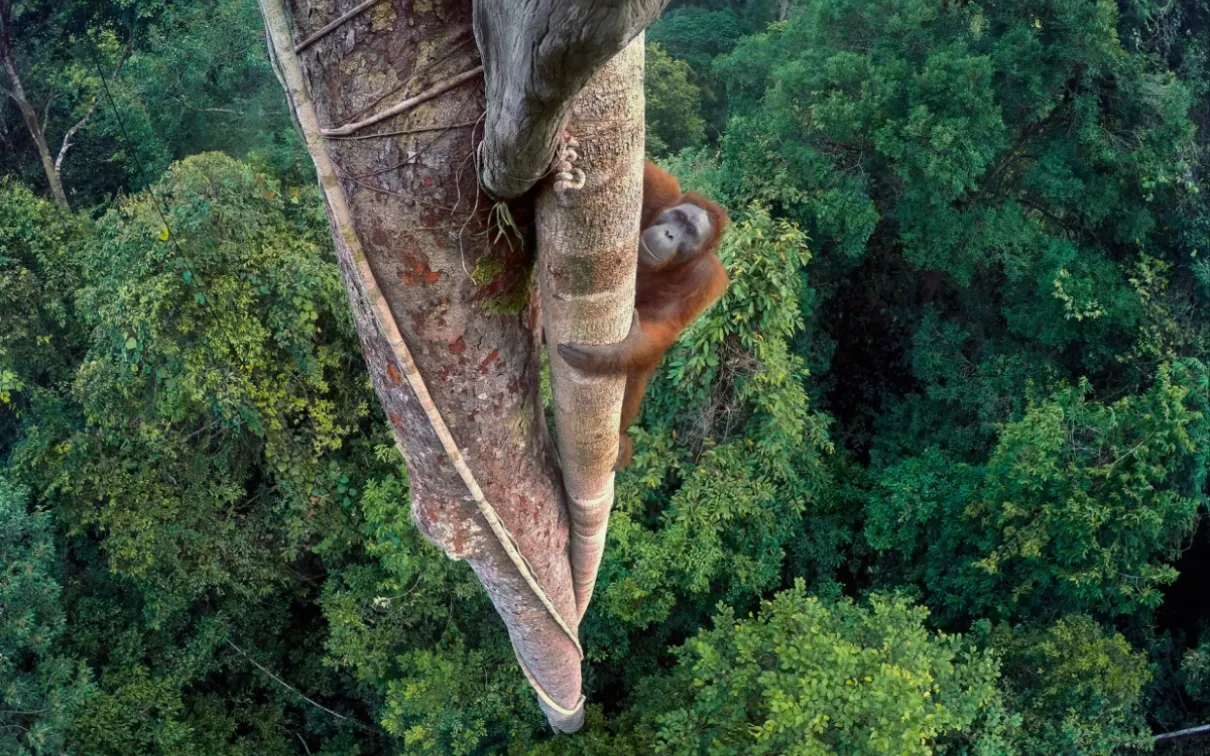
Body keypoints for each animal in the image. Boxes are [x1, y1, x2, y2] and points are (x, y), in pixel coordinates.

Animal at [558, 161, 730, 470]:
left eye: (689, 231)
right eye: (677, 217)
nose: (670, 234)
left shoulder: (705, 278)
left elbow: (662, 326)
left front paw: (614, 352)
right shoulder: (660, 192)